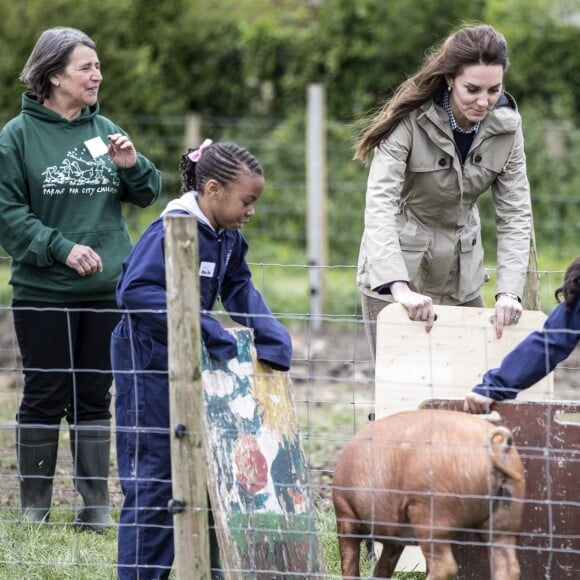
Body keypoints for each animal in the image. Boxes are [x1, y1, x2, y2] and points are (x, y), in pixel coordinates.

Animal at [330, 408, 524, 580]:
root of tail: (496, 449)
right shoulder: (395, 536)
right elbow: (383, 567)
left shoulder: (345, 512)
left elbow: (349, 562)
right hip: (507, 515)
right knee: (508, 565)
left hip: (433, 513)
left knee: (445, 566)